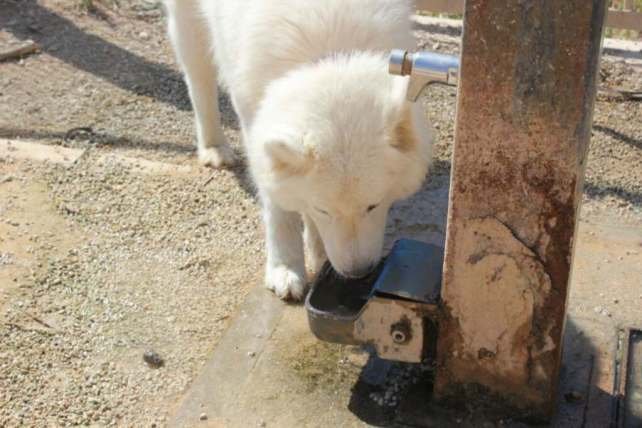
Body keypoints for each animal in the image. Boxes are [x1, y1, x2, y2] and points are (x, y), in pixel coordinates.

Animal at [165, 0, 432, 300]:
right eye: (324, 210)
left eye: (373, 205)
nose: (357, 273)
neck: (328, 56)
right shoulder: (255, 124)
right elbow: (279, 209)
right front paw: (286, 269)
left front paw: (318, 252)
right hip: (188, 24)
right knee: (199, 80)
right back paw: (213, 146)